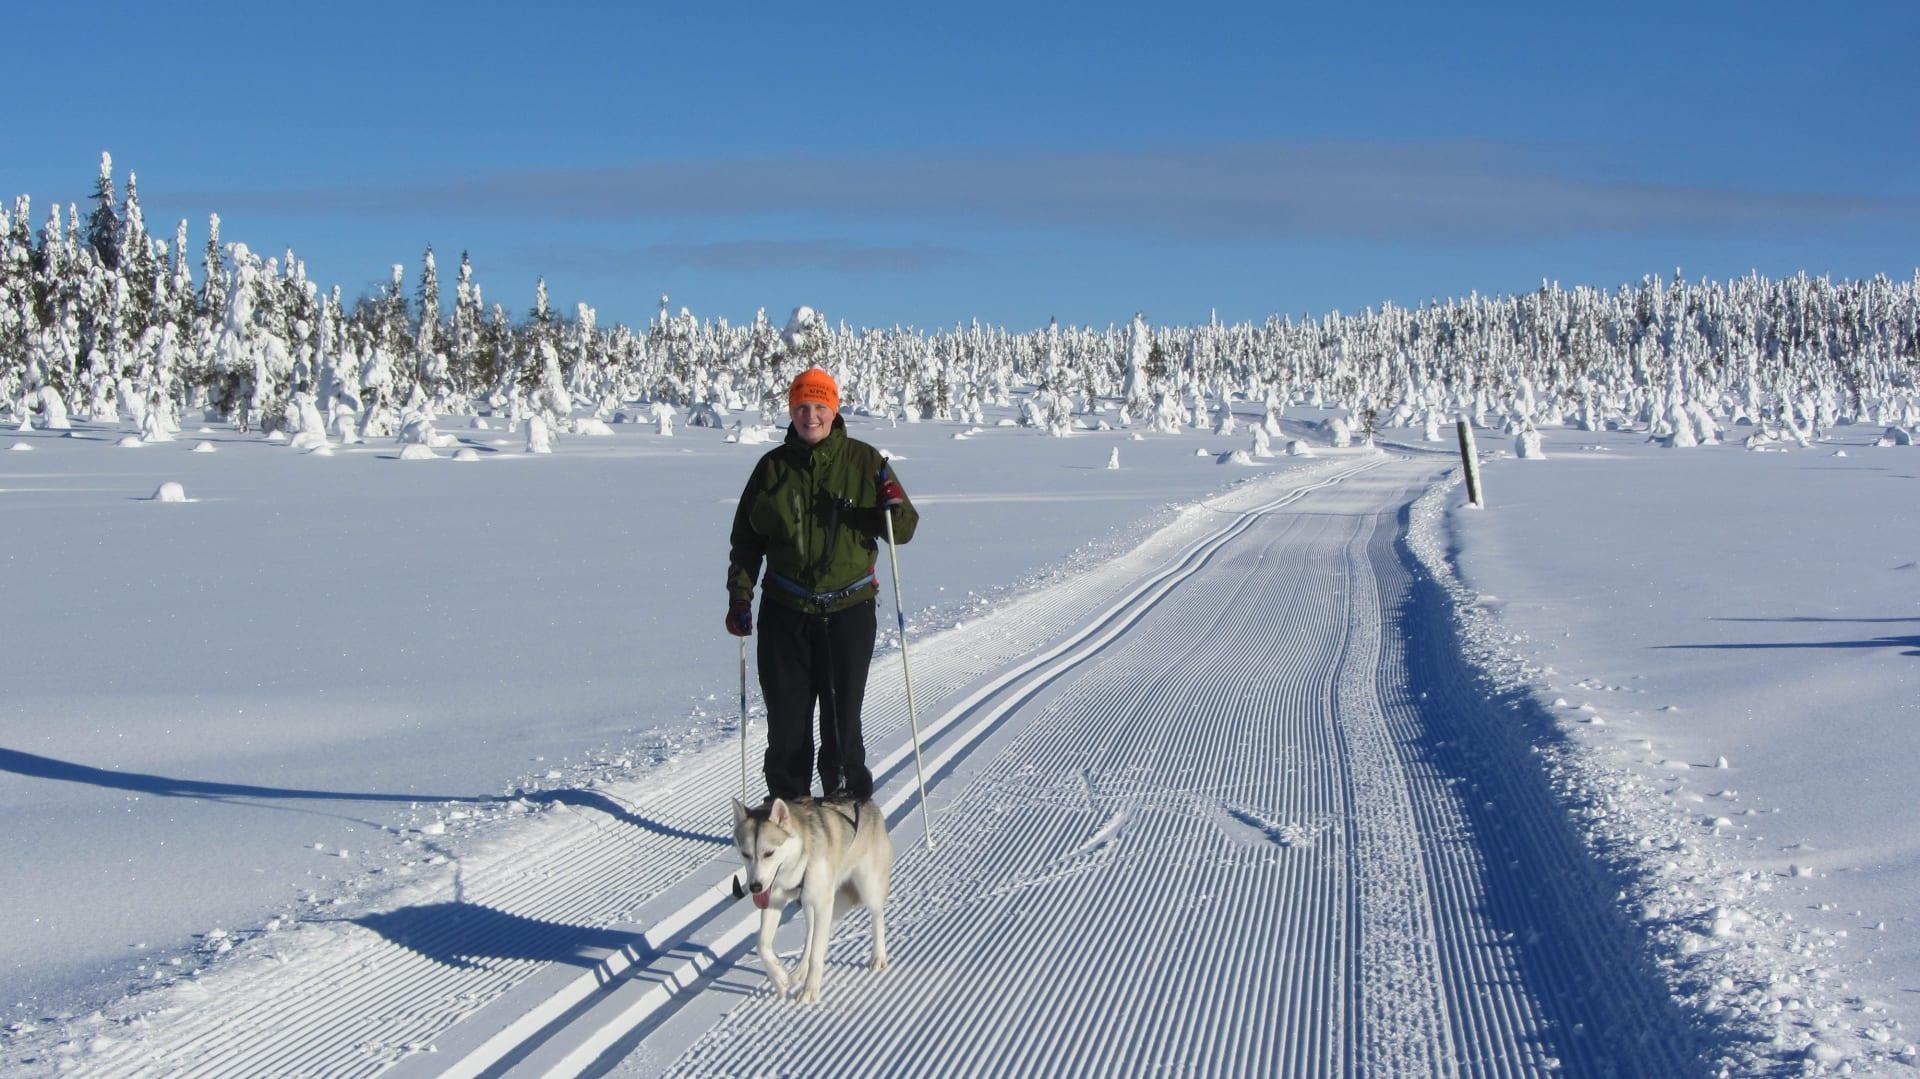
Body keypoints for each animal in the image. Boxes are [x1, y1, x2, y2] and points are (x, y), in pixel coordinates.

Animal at [733, 791, 890, 998]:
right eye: (745, 854)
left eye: (769, 853)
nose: (755, 887)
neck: (797, 863)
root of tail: (867, 801)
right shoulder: (774, 900)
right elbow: (762, 945)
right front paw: (779, 978)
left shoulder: (823, 903)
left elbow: (816, 953)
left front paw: (810, 990)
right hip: (808, 904)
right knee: (810, 937)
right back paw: (800, 971)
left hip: (867, 887)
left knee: (877, 917)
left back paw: (878, 956)